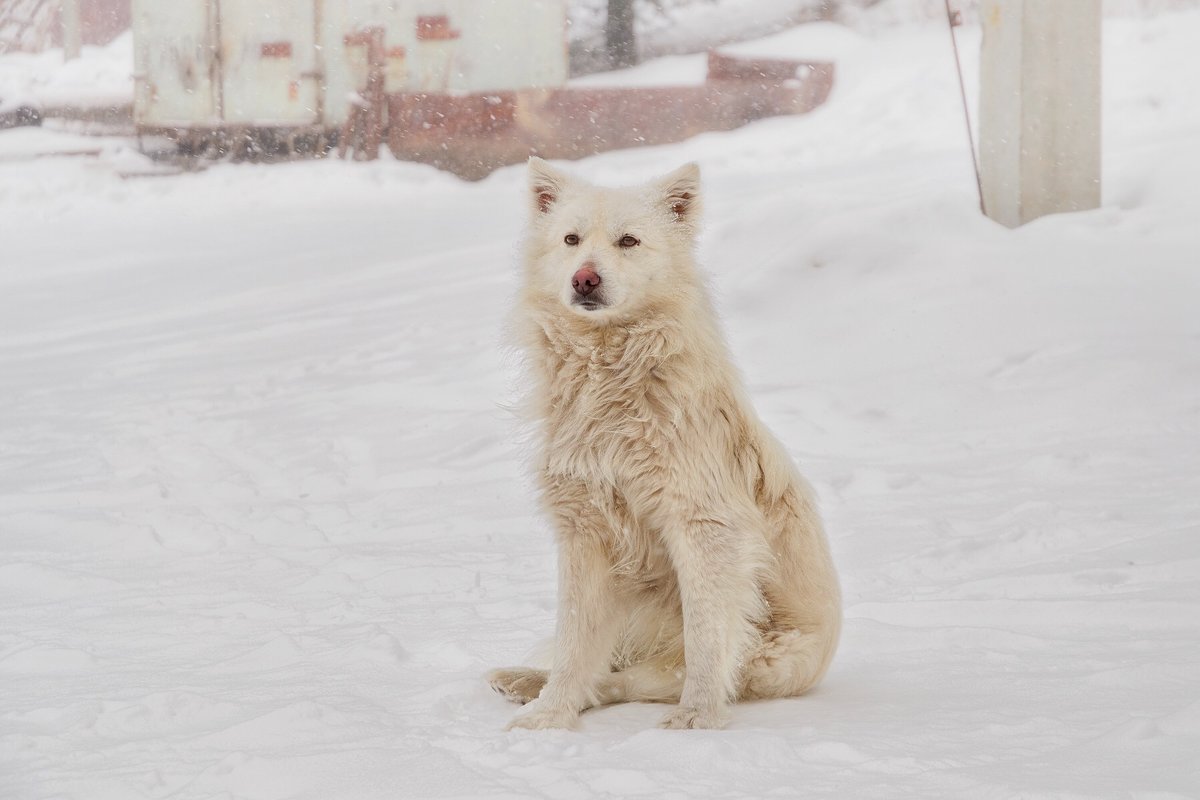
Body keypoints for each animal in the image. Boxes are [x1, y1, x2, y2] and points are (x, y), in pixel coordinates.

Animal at [484, 158, 835, 734]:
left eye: (629, 241)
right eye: (570, 239)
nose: (585, 278)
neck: (610, 377)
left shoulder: (705, 527)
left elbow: (706, 640)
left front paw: (697, 721)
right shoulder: (585, 530)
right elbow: (574, 640)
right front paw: (550, 717)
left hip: (770, 657)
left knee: (630, 681)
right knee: (599, 666)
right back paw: (525, 683)